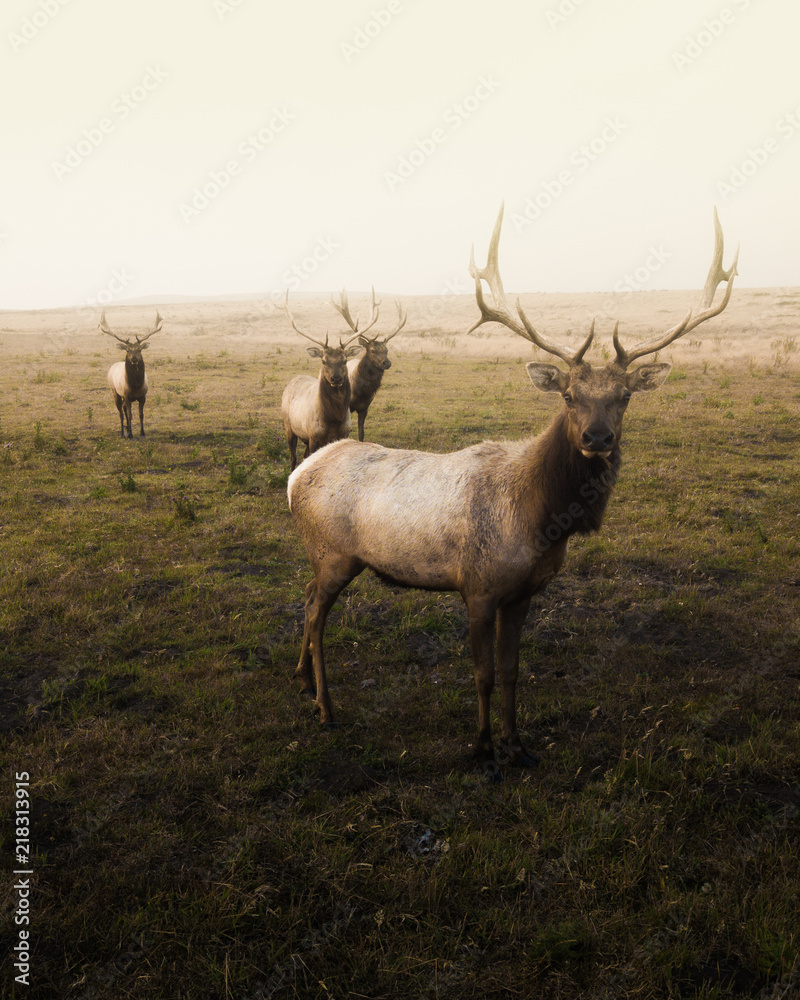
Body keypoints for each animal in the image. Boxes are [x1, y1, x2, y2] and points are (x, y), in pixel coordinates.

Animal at [280, 293, 363, 471]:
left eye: (345, 360)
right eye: (324, 361)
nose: (336, 378)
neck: (333, 420)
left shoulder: (343, 434)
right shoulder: (314, 436)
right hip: (289, 426)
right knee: (293, 457)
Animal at [329, 288, 407, 442]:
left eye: (386, 350)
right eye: (372, 350)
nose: (387, 363)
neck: (361, 392)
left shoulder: (365, 408)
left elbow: (361, 433)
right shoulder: (348, 408)